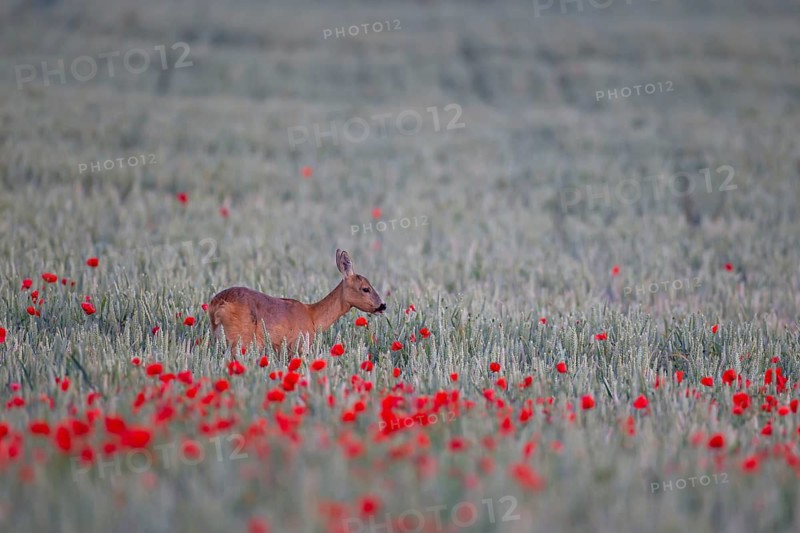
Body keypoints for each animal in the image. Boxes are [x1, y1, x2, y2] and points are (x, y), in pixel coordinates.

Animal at [207, 249, 386, 355]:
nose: (383, 305)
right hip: (240, 338)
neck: (313, 317)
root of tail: (218, 304)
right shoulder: (299, 345)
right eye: (366, 288)